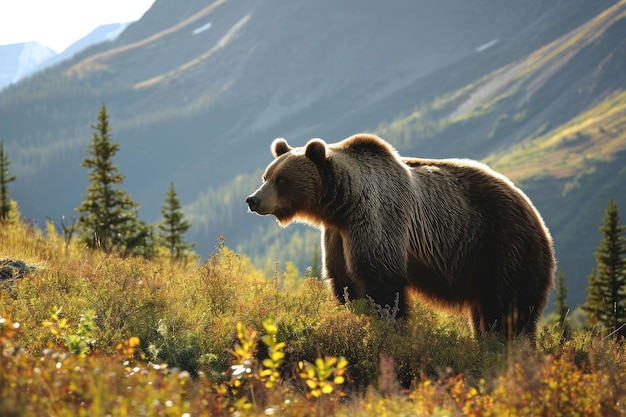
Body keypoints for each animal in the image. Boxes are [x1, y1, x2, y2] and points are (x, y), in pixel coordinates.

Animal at [246, 135, 552, 340]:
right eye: (266, 176)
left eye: (282, 179)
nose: (253, 200)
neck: (343, 204)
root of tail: (531, 208)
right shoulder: (337, 234)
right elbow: (343, 281)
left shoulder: (378, 218)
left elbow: (381, 279)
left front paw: (389, 326)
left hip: (501, 243)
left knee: (508, 304)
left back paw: (505, 343)